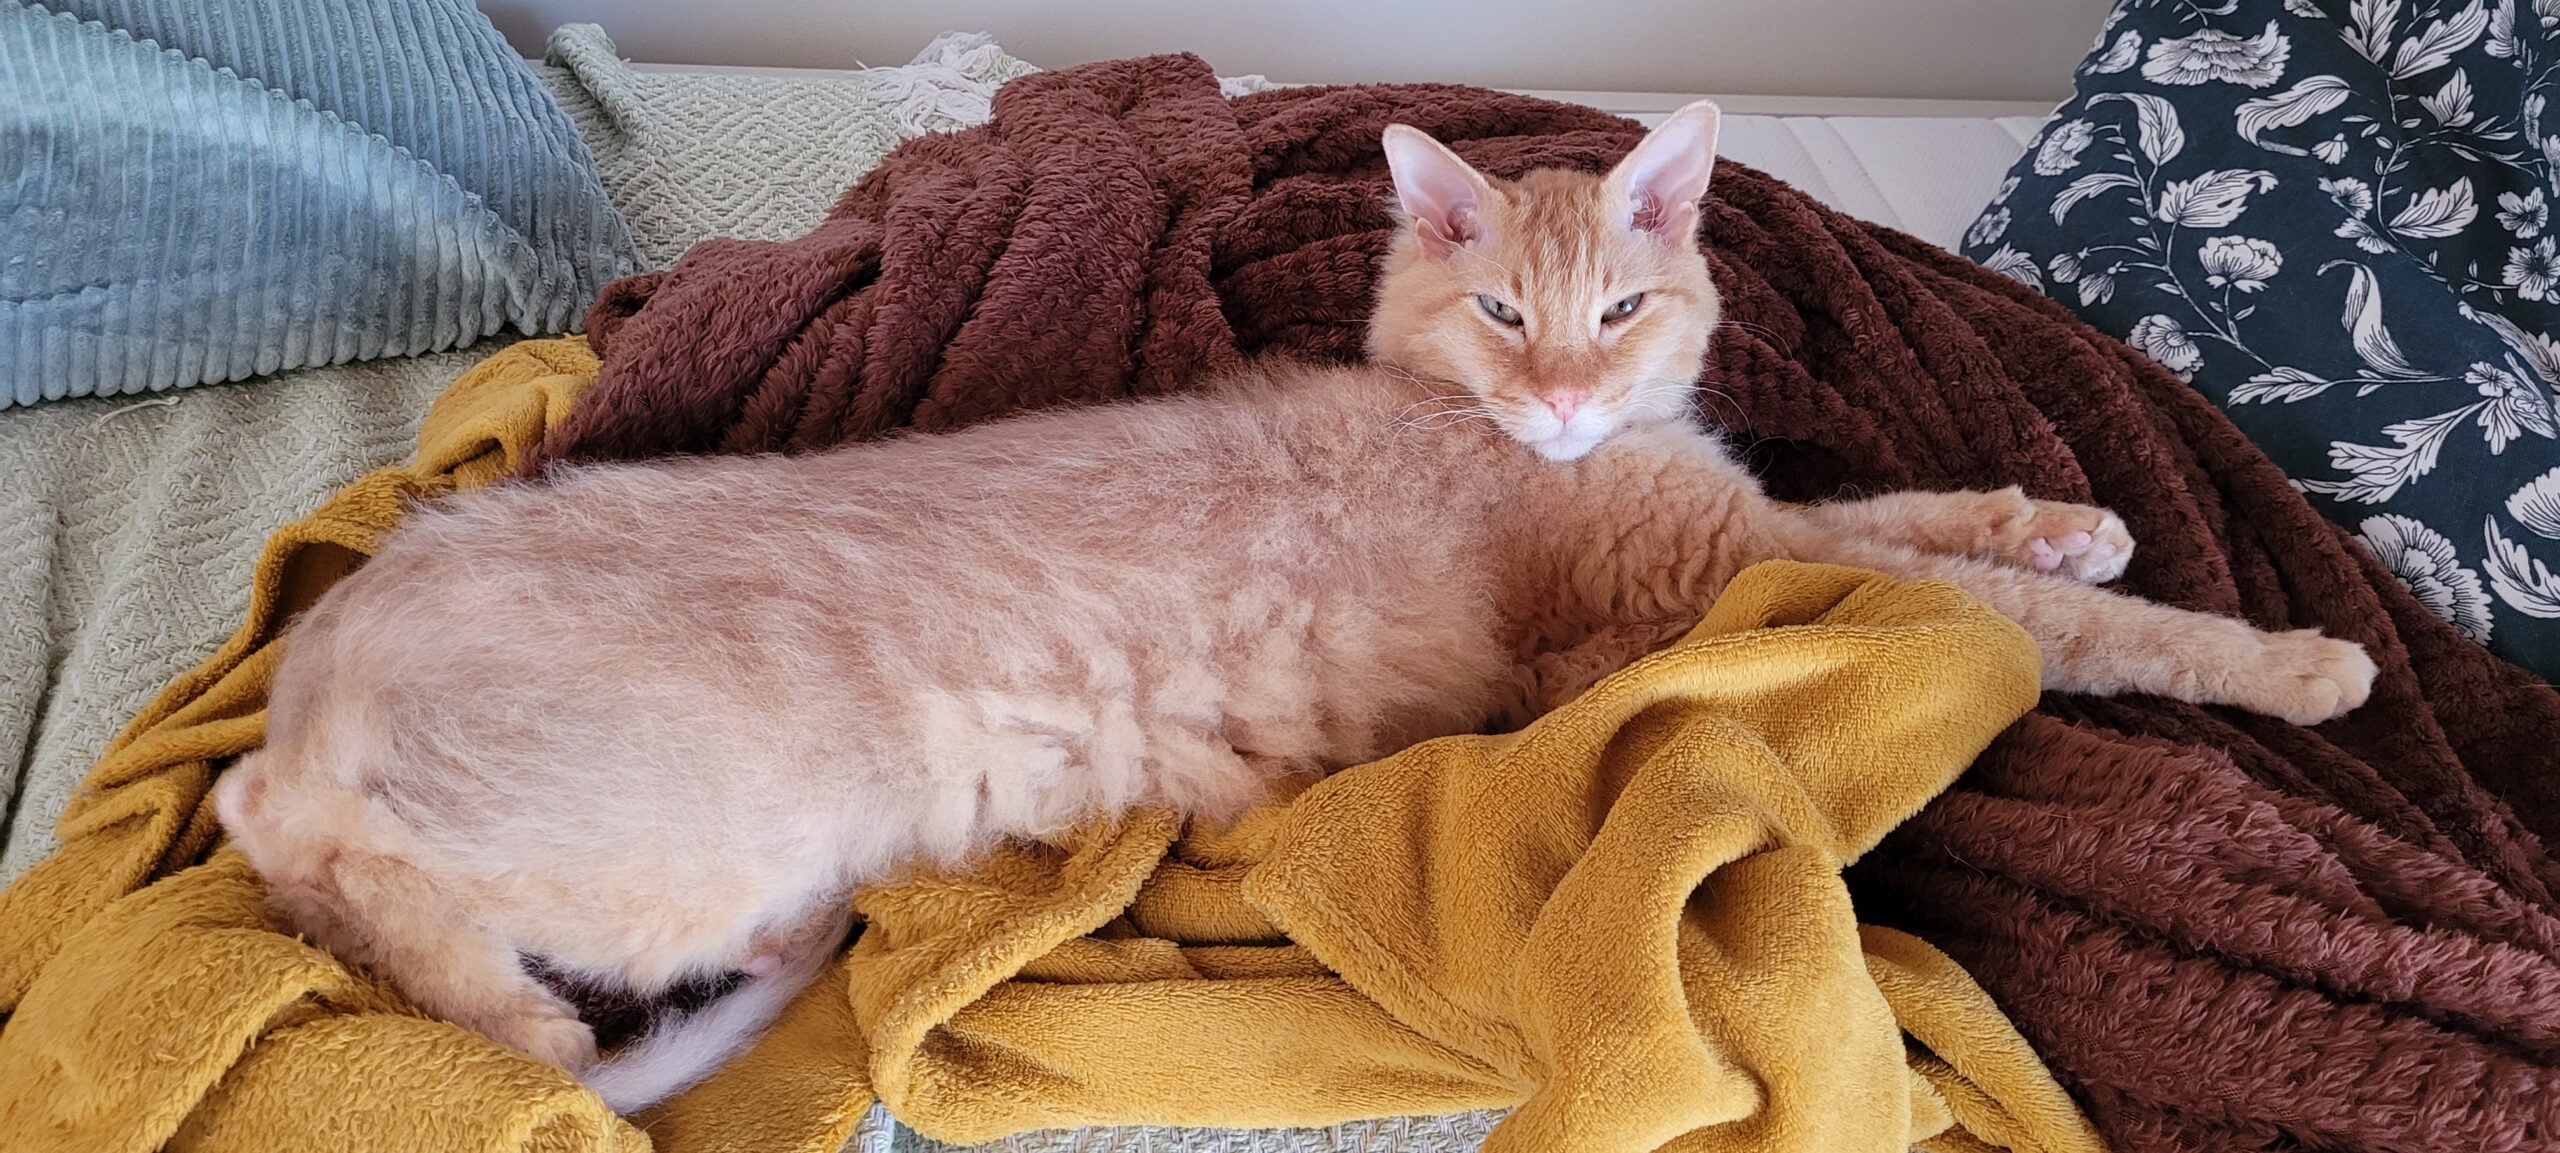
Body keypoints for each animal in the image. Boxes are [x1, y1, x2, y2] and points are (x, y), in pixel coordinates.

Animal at [204, 101, 2375, 1117]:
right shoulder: (1701, 589)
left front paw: (2077, 525)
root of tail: (327, 655)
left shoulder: (1754, 529)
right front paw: (2295, 655)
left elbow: (1935, 520)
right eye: (1504, 314)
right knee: (296, 848)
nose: (1564, 402)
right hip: (684, 825)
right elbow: (2009, 613)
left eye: (1620, 308)